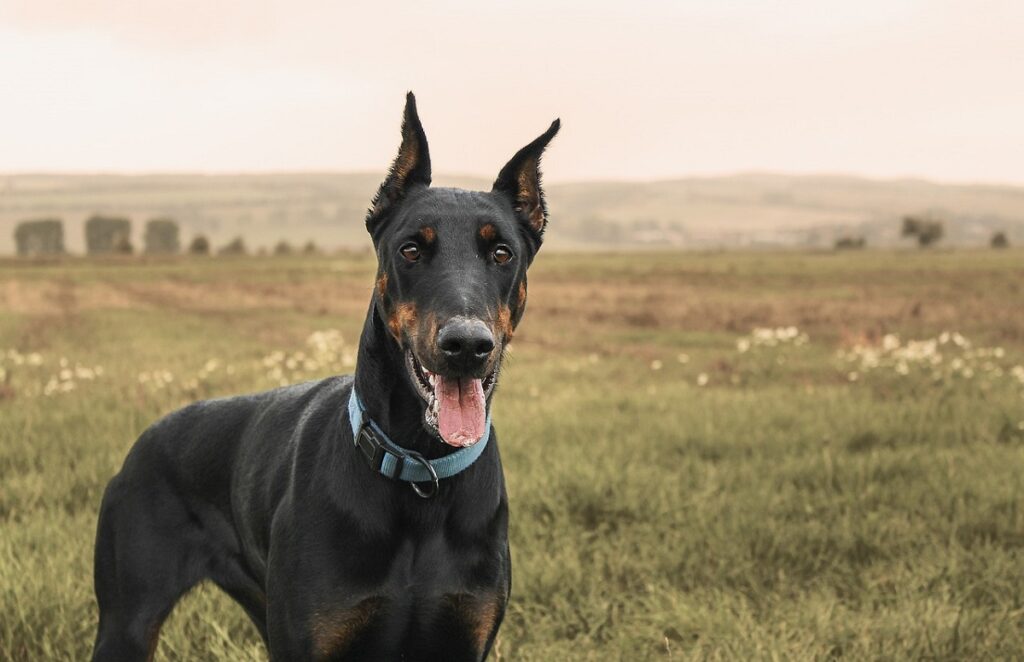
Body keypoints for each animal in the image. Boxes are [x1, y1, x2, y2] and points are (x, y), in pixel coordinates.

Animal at [90, 94, 561, 662]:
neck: (420, 471)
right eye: (410, 249)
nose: (466, 345)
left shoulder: (465, 637)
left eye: (501, 253)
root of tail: (144, 441)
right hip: (128, 622)